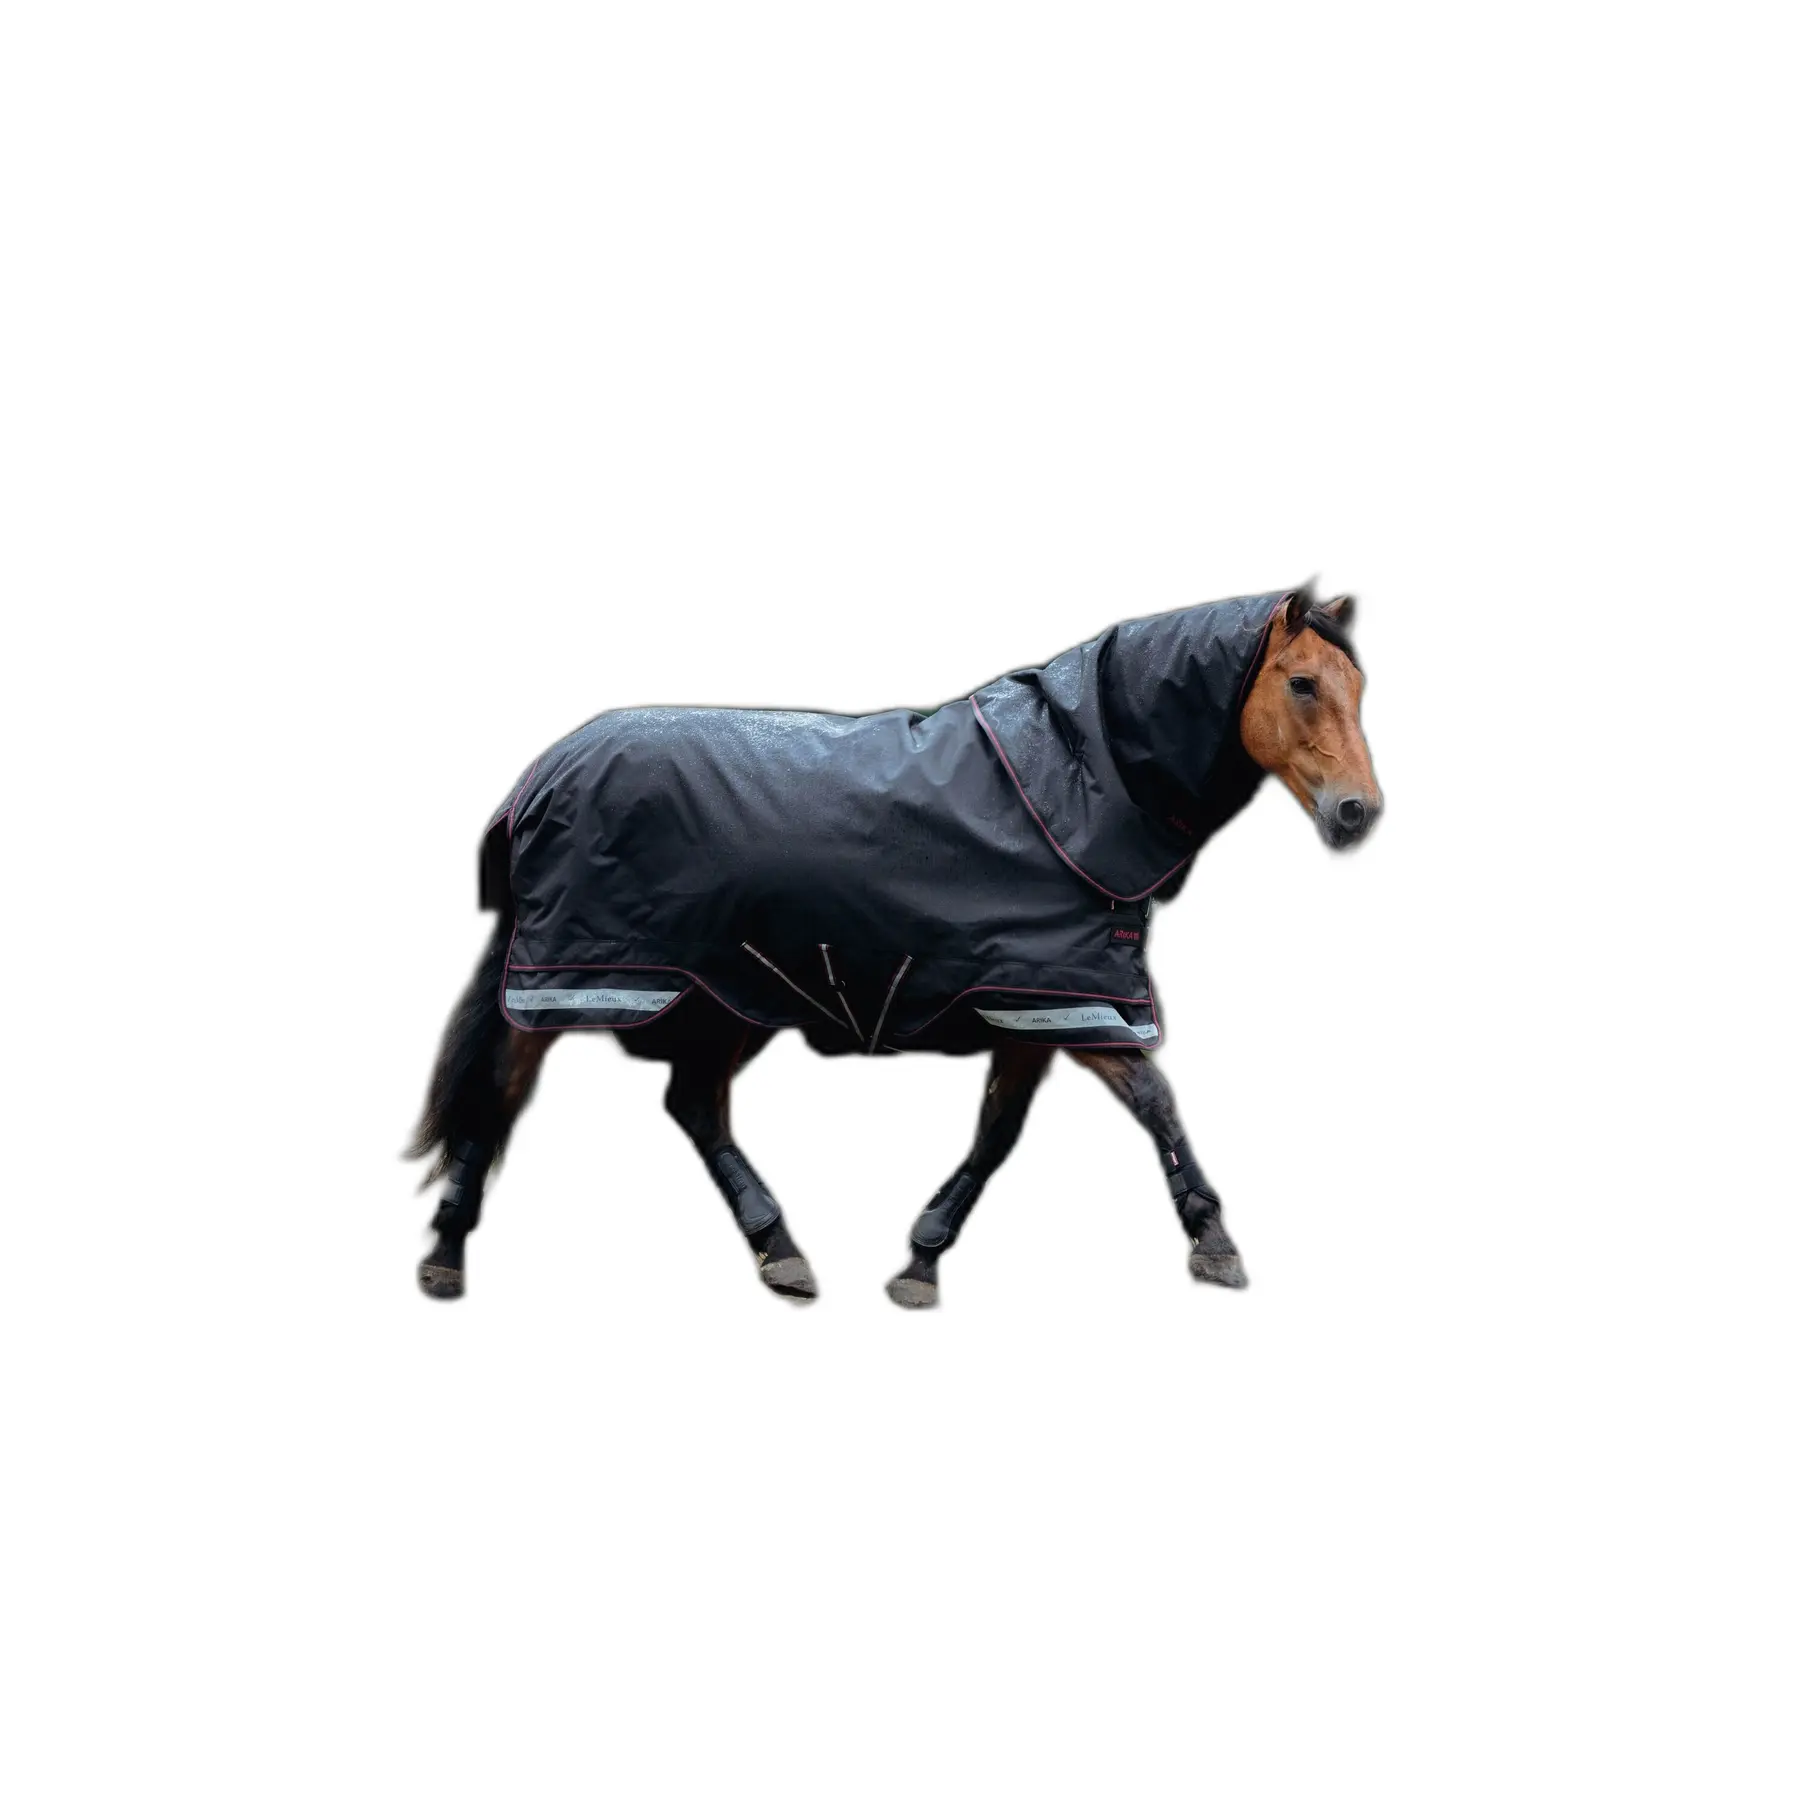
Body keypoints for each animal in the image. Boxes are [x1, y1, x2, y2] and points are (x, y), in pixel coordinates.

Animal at [408, 584, 1381, 1307]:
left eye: (1359, 687)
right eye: (1302, 683)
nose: (1357, 812)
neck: (1075, 786)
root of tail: (537, 779)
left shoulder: (1037, 1005)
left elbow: (998, 1134)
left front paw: (922, 1258)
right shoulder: (1066, 998)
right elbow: (1156, 1103)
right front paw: (1213, 1240)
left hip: (727, 990)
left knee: (691, 1105)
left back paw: (780, 1250)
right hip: (575, 978)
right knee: (499, 1095)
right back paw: (448, 1253)